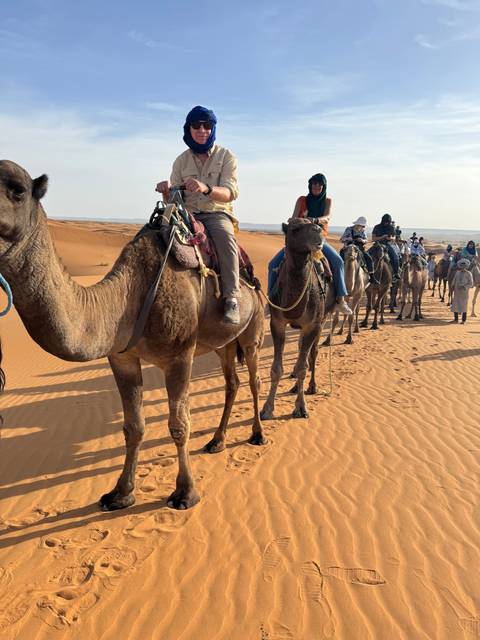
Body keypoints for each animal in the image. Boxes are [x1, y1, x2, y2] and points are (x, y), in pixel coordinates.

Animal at [0, 160, 266, 511]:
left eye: (17, 190)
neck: (132, 294)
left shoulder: (180, 356)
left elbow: (179, 425)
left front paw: (185, 493)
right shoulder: (122, 357)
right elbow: (133, 427)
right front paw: (120, 493)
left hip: (252, 331)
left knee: (253, 379)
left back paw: (258, 433)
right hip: (223, 343)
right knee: (231, 382)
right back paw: (217, 441)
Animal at [260, 218, 333, 420]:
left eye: (317, 226)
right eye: (295, 229)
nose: (318, 232)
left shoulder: (312, 324)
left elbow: (303, 368)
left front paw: (301, 407)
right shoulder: (277, 322)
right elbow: (276, 369)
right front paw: (267, 409)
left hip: (322, 319)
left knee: (312, 353)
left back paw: (312, 386)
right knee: (302, 350)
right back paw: (294, 387)